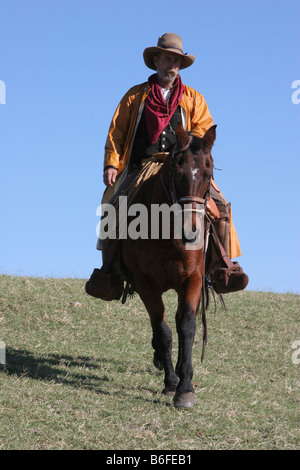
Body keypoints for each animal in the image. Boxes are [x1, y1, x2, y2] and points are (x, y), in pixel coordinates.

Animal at [119, 125, 216, 408]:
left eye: (209, 174)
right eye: (176, 172)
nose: (192, 232)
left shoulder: (192, 279)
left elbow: (186, 326)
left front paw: (185, 387)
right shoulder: (144, 283)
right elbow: (162, 331)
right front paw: (172, 382)